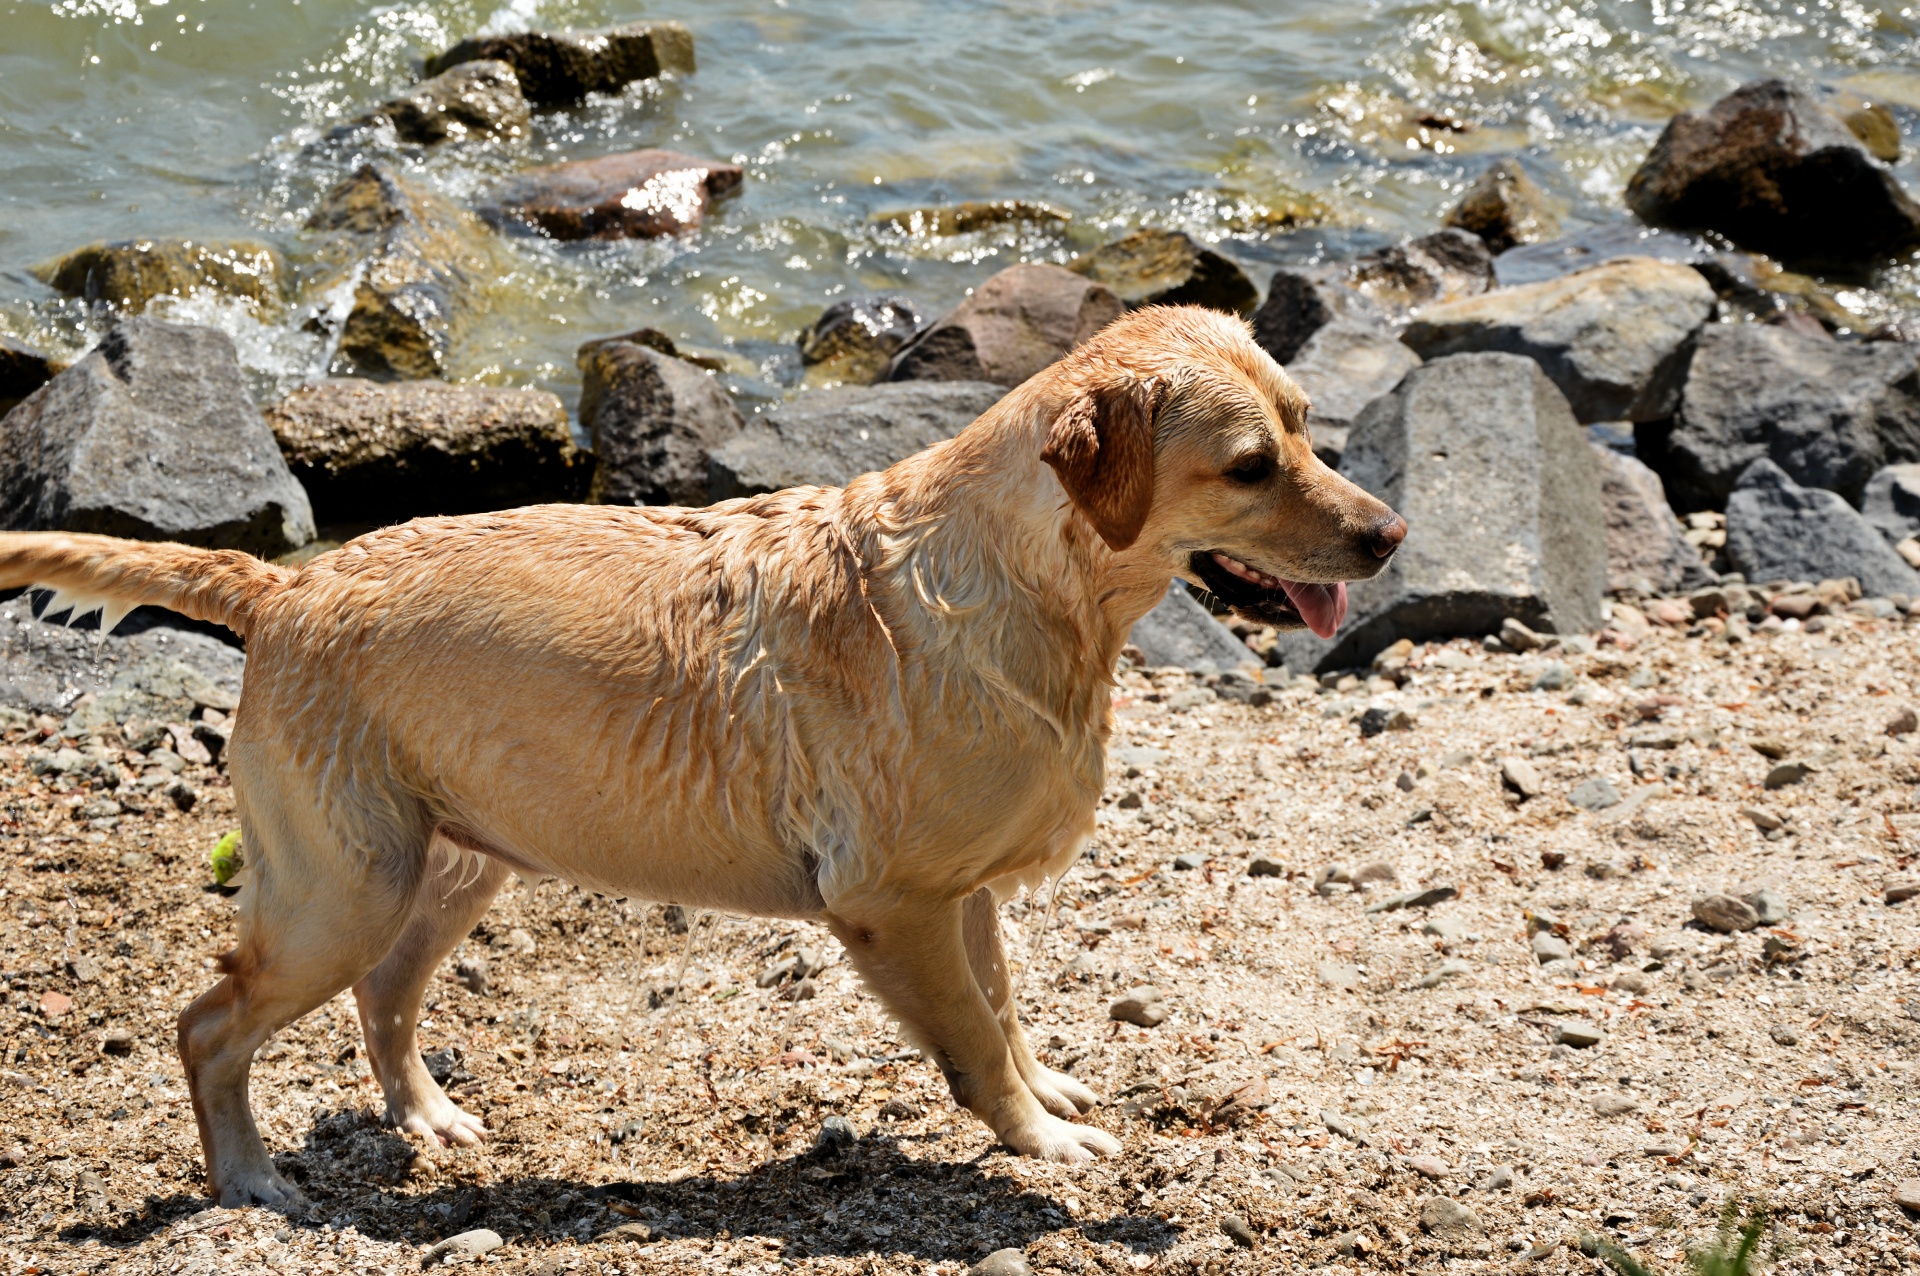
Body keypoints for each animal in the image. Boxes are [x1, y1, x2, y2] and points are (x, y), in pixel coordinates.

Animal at [3, 307, 1413, 1205]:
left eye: (1308, 424)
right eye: (1250, 465)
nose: (1393, 535)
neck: (1036, 591)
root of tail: (287, 584)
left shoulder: (966, 891)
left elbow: (1006, 1009)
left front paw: (1047, 1094)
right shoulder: (894, 901)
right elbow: (970, 1031)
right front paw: (1035, 1141)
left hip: (445, 862)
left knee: (386, 997)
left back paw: (425, 1115)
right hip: (338, 887)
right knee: (209, 1024)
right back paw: (248, 1179)